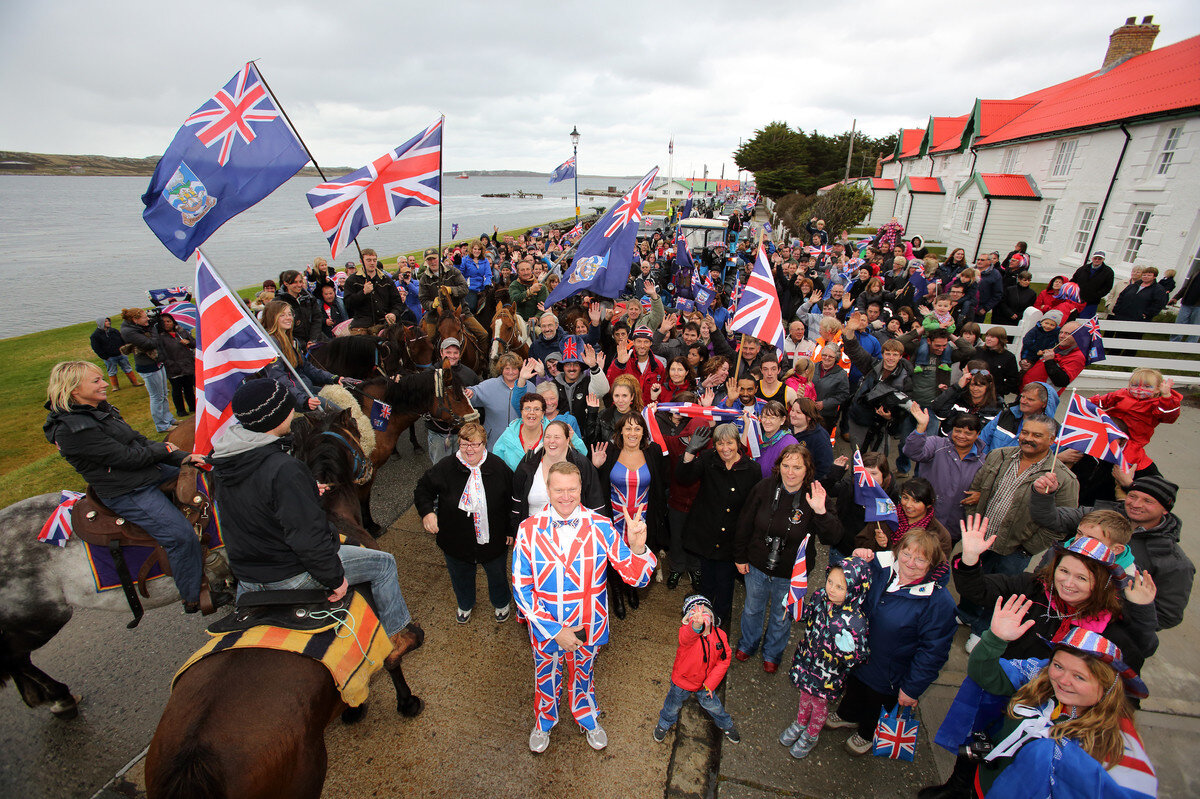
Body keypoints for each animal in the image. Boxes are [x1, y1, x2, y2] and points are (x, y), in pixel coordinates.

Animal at [143, 405, 424, 796]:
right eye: (354, 430)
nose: (372, 464)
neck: (335, 516)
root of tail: (194, 760)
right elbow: (392, 660)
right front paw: (407, 700)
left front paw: (353, 708)